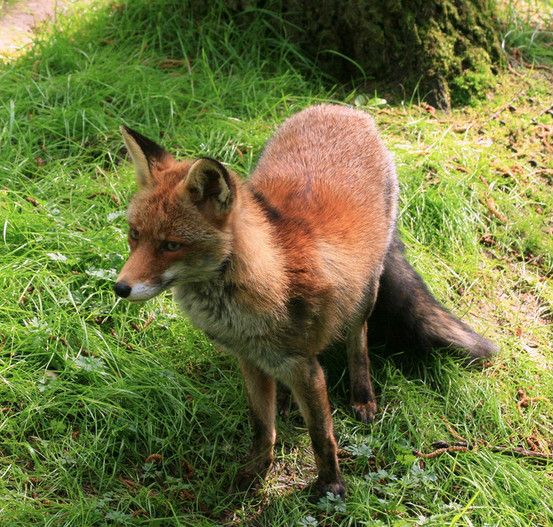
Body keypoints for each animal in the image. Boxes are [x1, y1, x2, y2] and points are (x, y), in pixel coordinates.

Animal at [114, 104, 494, 500]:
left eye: (171, 245)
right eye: (134, 235)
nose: (120, 288)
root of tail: (342, 108)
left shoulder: (306, 368)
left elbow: (321, 436)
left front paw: (330, 486)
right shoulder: (249, 359)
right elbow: (262, 427)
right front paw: (254, 474)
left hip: (365, 293)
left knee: (358, 340)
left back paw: (362, 395)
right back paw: (284, 400)